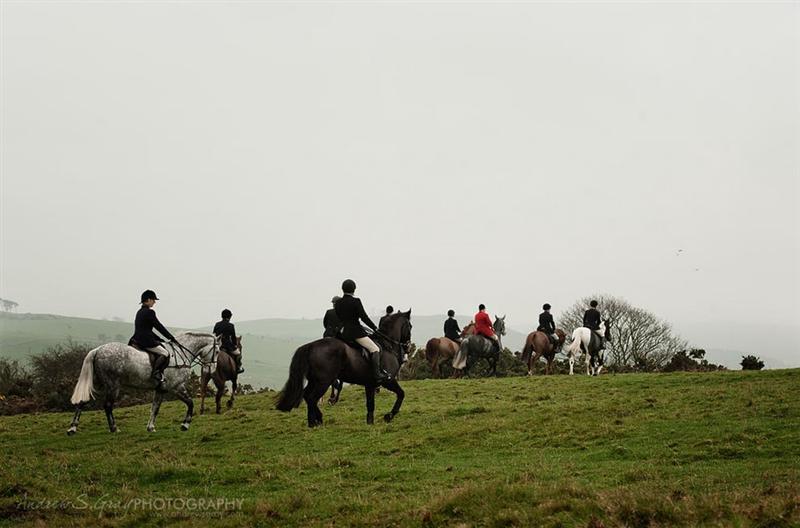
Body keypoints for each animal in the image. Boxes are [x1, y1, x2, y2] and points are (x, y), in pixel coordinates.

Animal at [67, 332, 218, 435]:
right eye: (217, 351)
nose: (212, 369)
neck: (181, 354)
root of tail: (98, 350)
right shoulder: (176, 387)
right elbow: (190, 403)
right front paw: (185, 425)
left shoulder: (161, 389)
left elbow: (155, 408)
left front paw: (151, 427)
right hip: (113, 385)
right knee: (108, 406)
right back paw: (114, 428)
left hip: (97, 384)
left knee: (82, 401)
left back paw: (72, 428)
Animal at [275, 310, 412, 427]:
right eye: (410, 326)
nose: (408, 347)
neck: (388, 345)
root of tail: (311, 346)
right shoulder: (388, 380)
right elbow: (401, 394)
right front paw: (389, 416)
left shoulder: (370, 384)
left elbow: (370, 404)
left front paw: (370, 422)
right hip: (324, 381)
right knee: (312, 398)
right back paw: (313, 423)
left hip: (315, 380)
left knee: (307, 395)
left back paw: (318, 419)